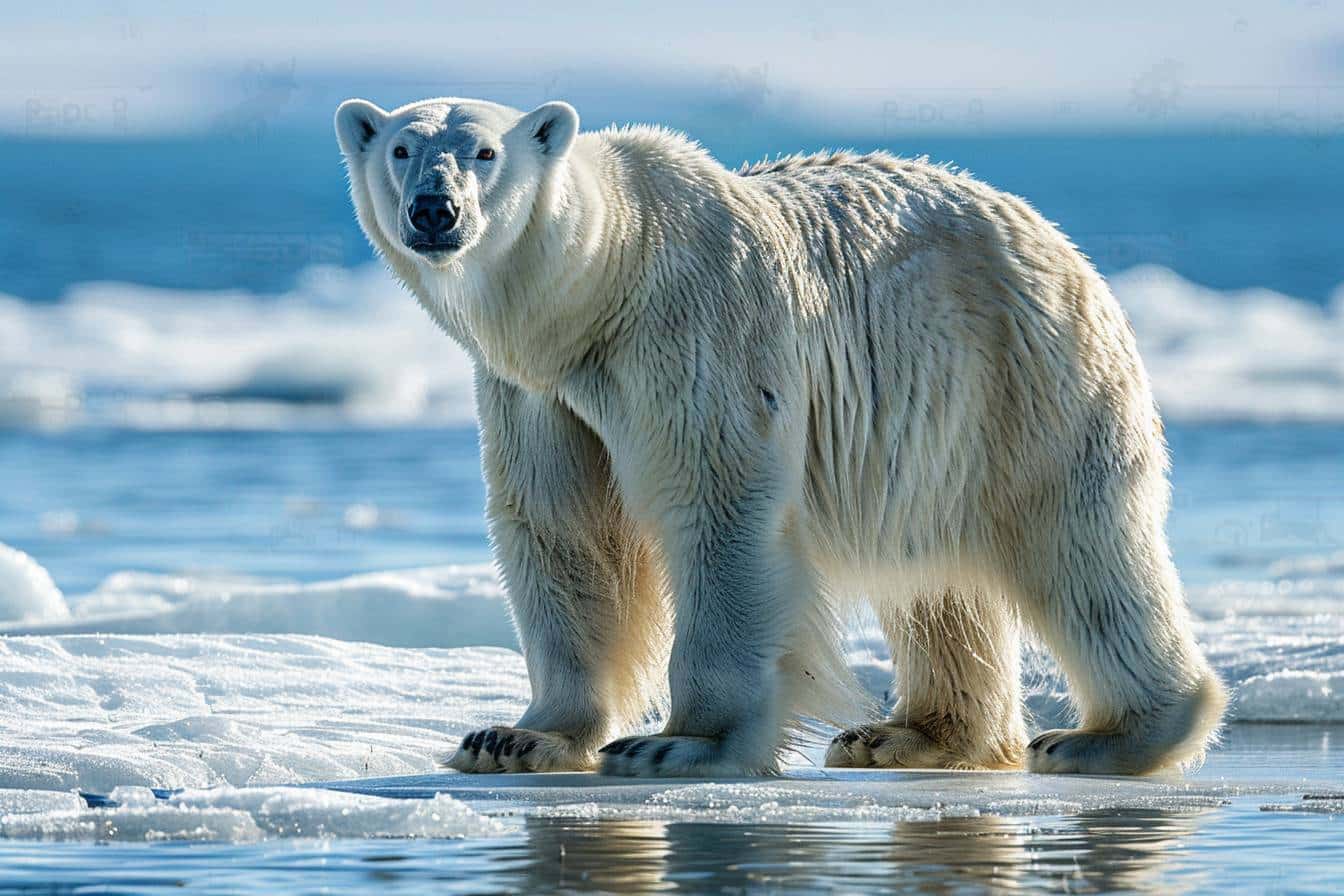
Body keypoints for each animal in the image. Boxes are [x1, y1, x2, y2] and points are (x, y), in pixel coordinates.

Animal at [338, 92, 1231, 779]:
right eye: (403, 147)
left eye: (485, 150)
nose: (434, 209)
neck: (604, 286)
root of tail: (1056, 239)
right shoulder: (536, 393)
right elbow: (563, 529)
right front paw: (513, 738)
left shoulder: (697, 332)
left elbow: (717, 503)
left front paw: (677, 746)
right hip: (942, 430)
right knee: (939, 577)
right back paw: (907, 736)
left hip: (1021, 377)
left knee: (1080, 546)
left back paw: (1108, 738)